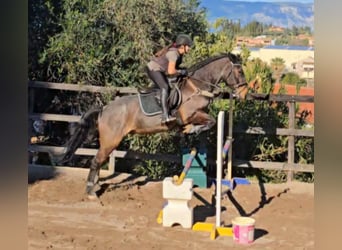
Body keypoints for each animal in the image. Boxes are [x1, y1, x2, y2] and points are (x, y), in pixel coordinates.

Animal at [60, 52, 248, 197]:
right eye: (239, 70)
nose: (244, 93)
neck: (197, 85)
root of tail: (104, 109)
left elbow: (210, 122)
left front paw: (188, 131)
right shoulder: (189, 115)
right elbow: (211, 121)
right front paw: (190, 129)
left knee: (98, 161)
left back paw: (96, 186)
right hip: (111, 141)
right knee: (96, 161)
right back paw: (91, 191)